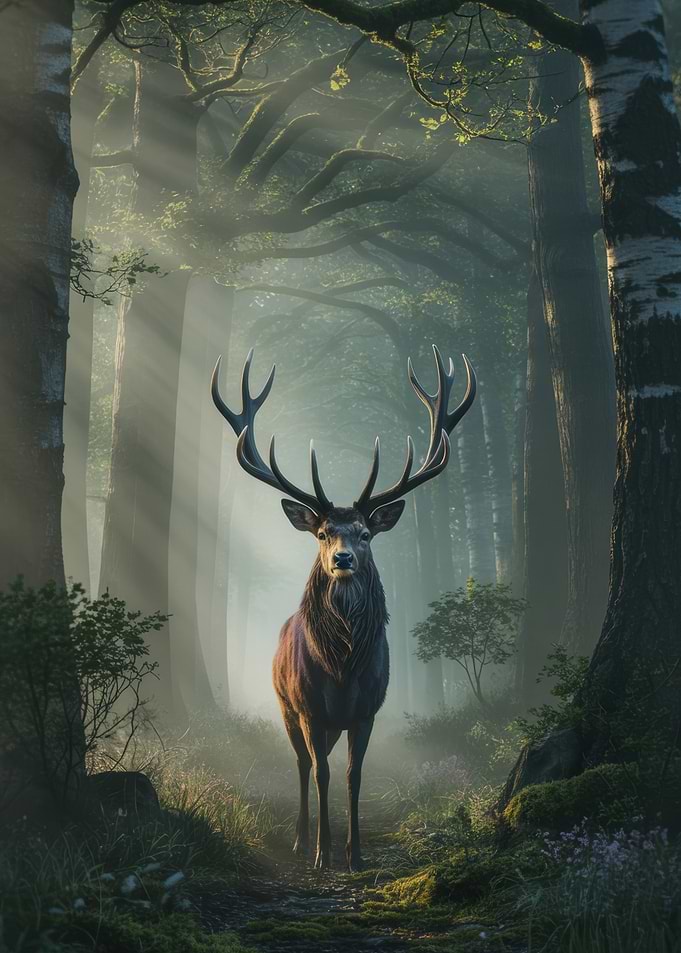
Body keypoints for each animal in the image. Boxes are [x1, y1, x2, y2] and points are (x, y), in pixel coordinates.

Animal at [211, 345, 476, 870]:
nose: (343, 559)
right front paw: (322, 852)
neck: (341, 667)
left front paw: (355, 854)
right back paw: (299, 837)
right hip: (285, 705)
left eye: (366, 533)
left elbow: (353, 775)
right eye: (322, 533)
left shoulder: (367, 709)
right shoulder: (310, 708)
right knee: (301, 764)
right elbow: (322, 774)